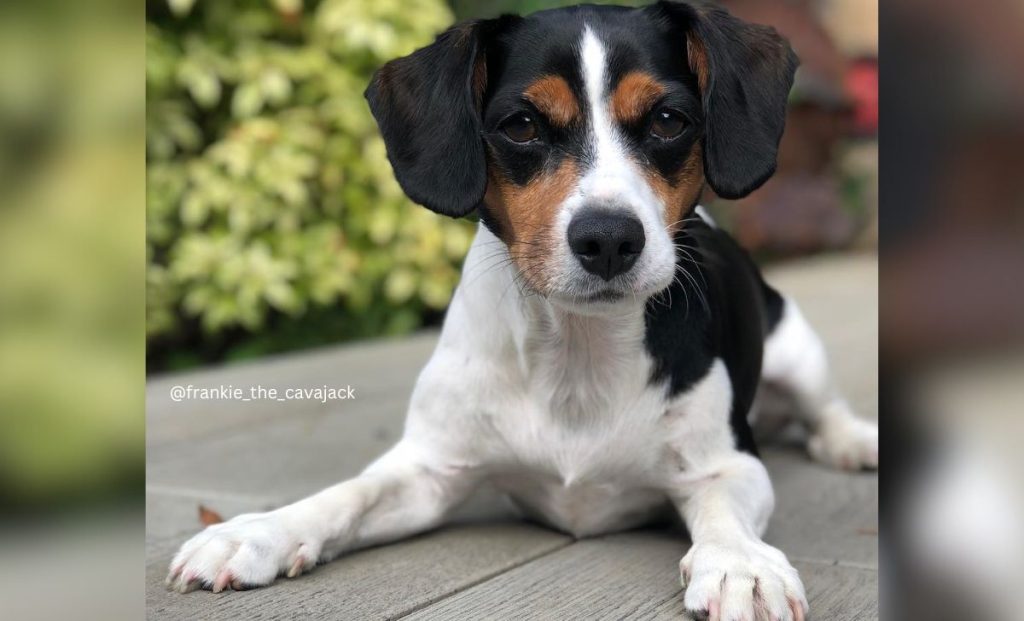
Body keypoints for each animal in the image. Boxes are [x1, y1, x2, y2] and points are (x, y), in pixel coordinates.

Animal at [167, 2, 880, 618]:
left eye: (669, 120)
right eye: (522, 125)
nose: (609, 239)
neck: (576, 352)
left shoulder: (727, 464)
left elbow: (724, 513)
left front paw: (740, 564)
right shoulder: (428, 471)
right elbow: (348, 494)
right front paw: (259, 532)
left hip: (797, 348)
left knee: (826, 411)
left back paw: (854, 442)